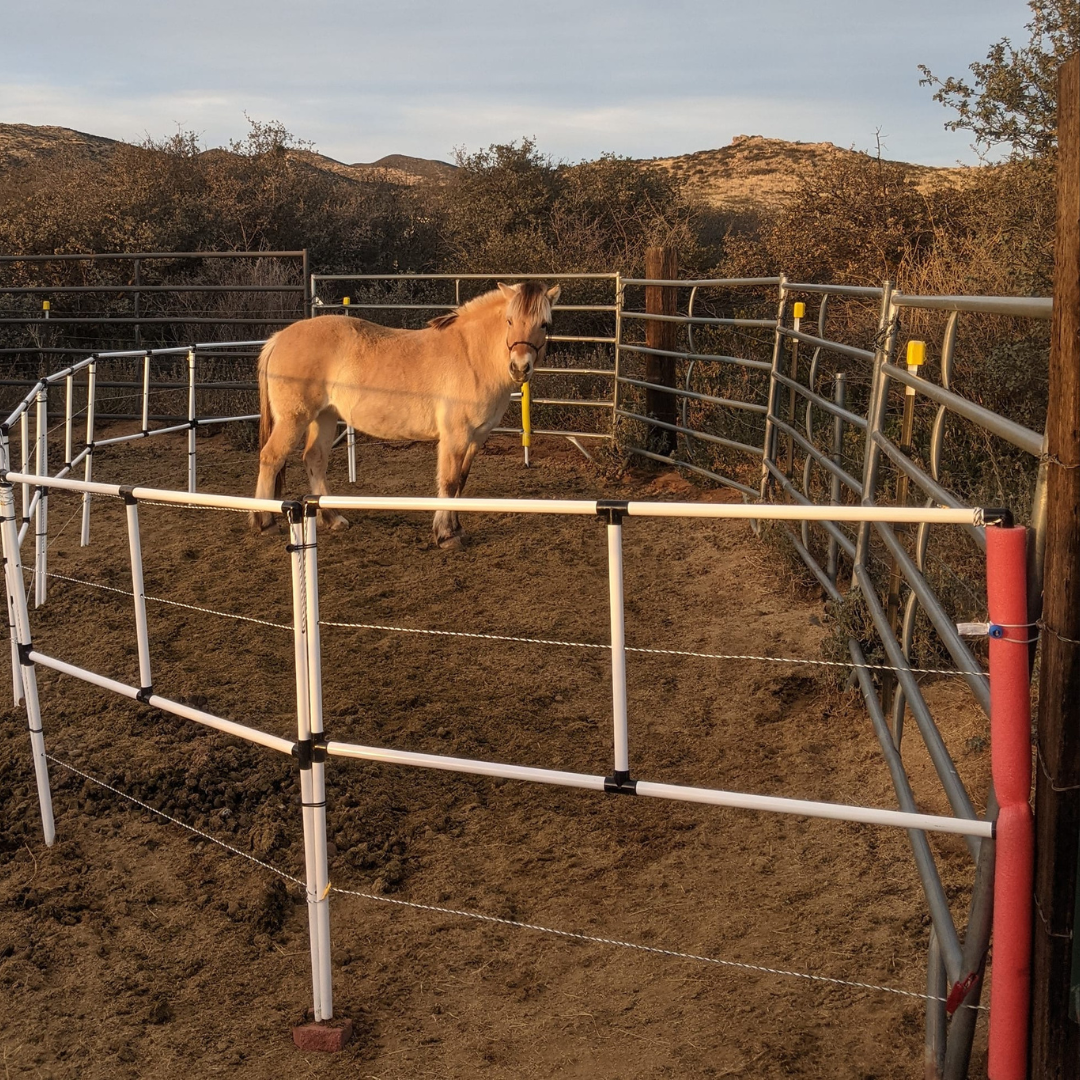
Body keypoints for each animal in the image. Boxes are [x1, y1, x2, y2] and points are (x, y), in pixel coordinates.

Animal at [251, 281, 560, 548]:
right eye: (509, 321)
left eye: (544, 324)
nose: (519, 367)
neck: (472, 356)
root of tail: (279, 338)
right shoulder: (455, 436)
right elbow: (448, 482)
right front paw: (446, 535)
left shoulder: (476, 437)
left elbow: (460, 482)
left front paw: (457, 529)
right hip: (294, 419)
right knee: (271, 458)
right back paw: (264, 522)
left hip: (325, 416)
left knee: (314, 459)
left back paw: (333, 518)